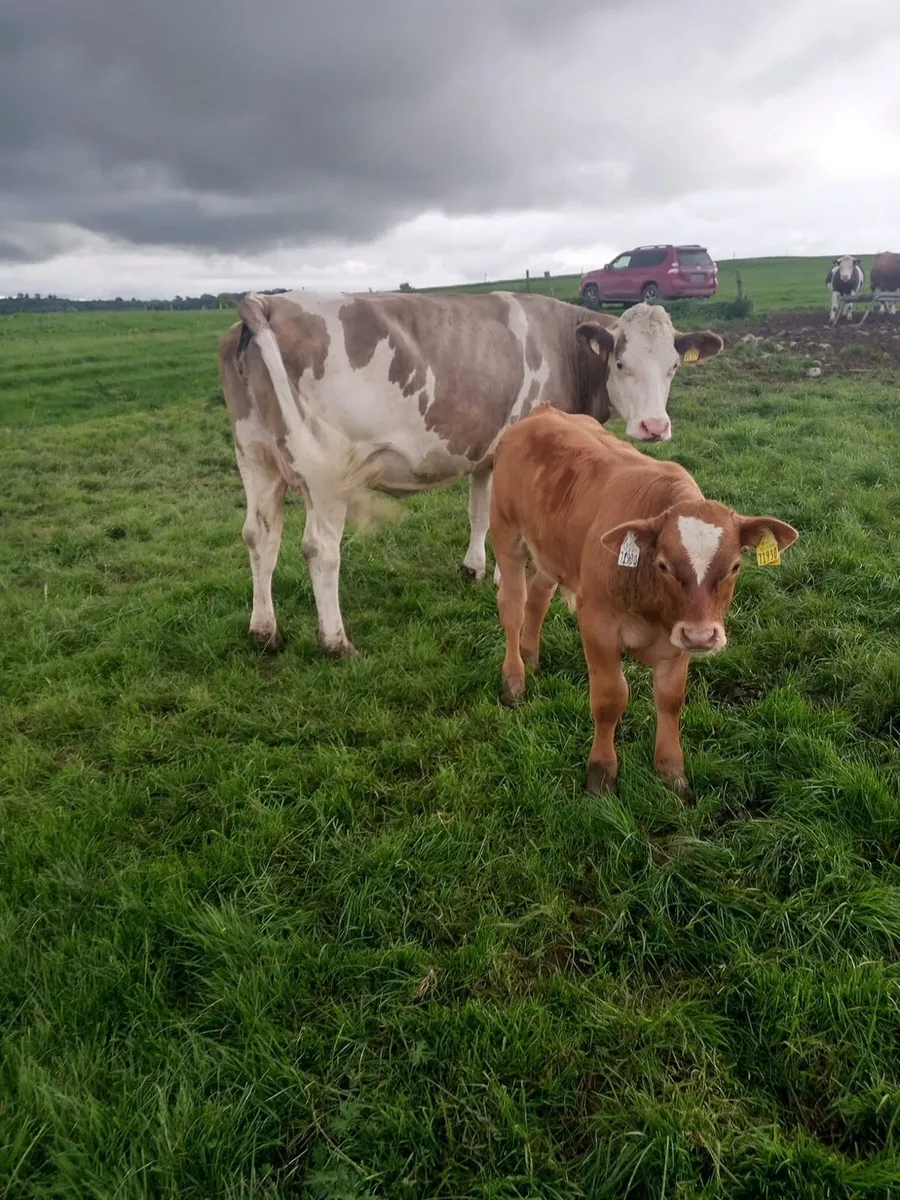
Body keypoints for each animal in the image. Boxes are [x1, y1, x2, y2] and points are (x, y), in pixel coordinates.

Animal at [218, 290, 724, 657]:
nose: (654, 427)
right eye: (620, 363)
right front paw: (510, 577)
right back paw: (336, 641)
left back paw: (264, 631)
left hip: (254, 456)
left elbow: (480, 512)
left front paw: (476, 568)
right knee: (320, 550)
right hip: (325, 474)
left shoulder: (487, 454)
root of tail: (268, 302)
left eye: (673, 367)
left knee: (260, 537)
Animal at [489, 406, 798, 800]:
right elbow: (610, 699)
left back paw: (530, 655)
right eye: (664, 564)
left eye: (735, 566)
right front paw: (601, 773)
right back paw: (514, 678)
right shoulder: (598, 626)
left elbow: (670, 700)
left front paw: (671, 771)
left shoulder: (679, 637)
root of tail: (542, 411)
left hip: (551, 552)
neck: (652, 607)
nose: (703, 637)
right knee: (513, 606)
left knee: (539, 597)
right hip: (506, 533)